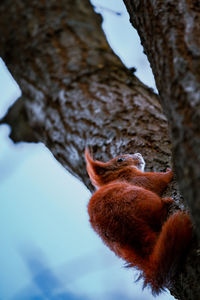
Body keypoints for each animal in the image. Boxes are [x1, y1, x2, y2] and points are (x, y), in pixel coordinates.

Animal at [85, 149, 193, 294]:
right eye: (120, 159)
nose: (138, 154)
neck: (117, 175)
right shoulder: (136, 178)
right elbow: (157, 180)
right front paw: (170, 171)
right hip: (143, 198)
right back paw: (166, 203)